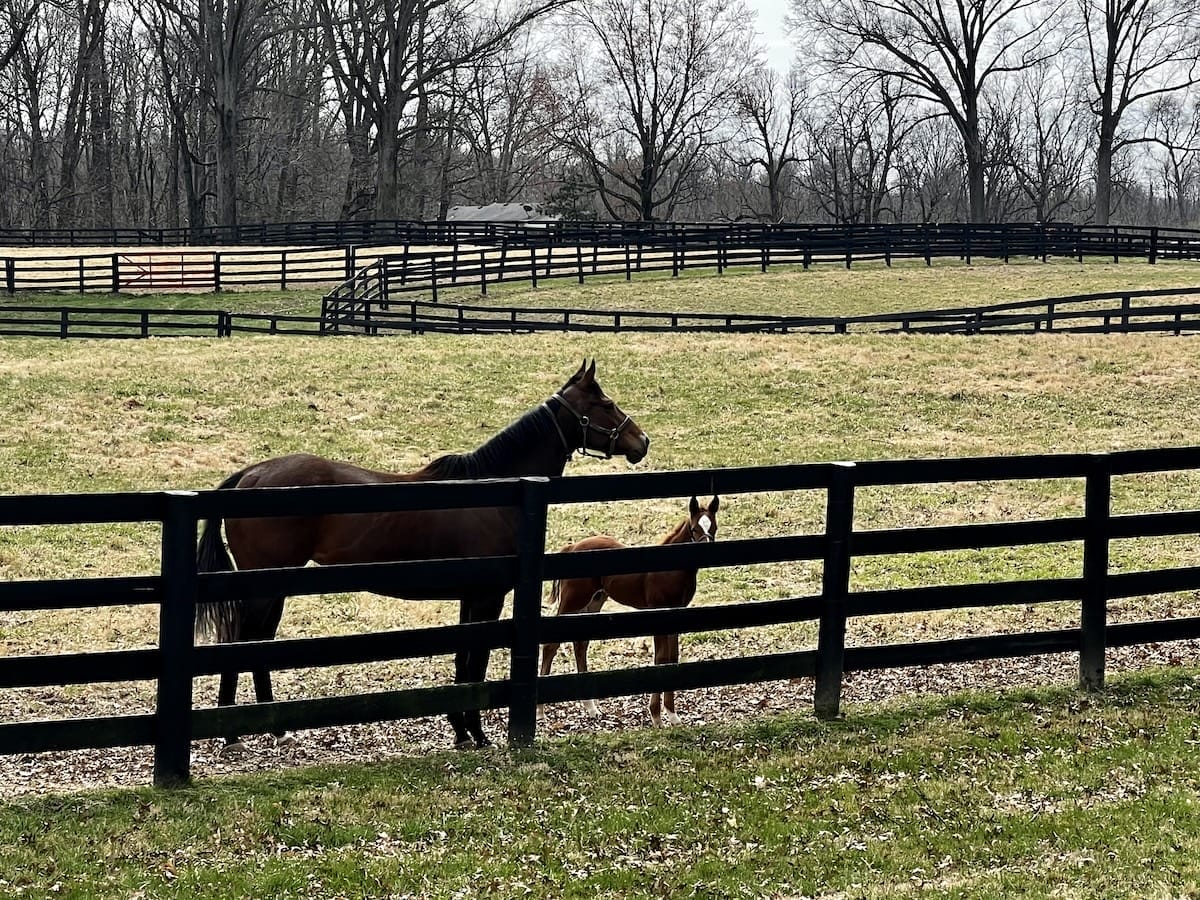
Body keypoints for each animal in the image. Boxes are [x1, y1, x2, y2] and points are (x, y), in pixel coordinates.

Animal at [194, 360, 650, 750]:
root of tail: (251, 475)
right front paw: (476, 733)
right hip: (262, 586)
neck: (495, 491)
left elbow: (463, 661)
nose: (641, 441)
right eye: (605, 404)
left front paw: (461, 731)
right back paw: (233, 734)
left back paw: (275, 728)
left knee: (259, 642)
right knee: (242, 641)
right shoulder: (488, 597)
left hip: (275, 585)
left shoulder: (471, 596)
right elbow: (475, 663)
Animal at [538, 495, 718, 727]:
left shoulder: (676, 612)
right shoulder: (659, 612)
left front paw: (673, 716)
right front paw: (656, 716)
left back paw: (591, 708)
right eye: (695, 529)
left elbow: (672, 658)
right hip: (572, 602)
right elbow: (660, 659)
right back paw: (540, 710)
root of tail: (572, 547)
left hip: (594, 601)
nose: (706, 553)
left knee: (580, 644)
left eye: (713, 527)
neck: (669, 569)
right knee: (551, 645)